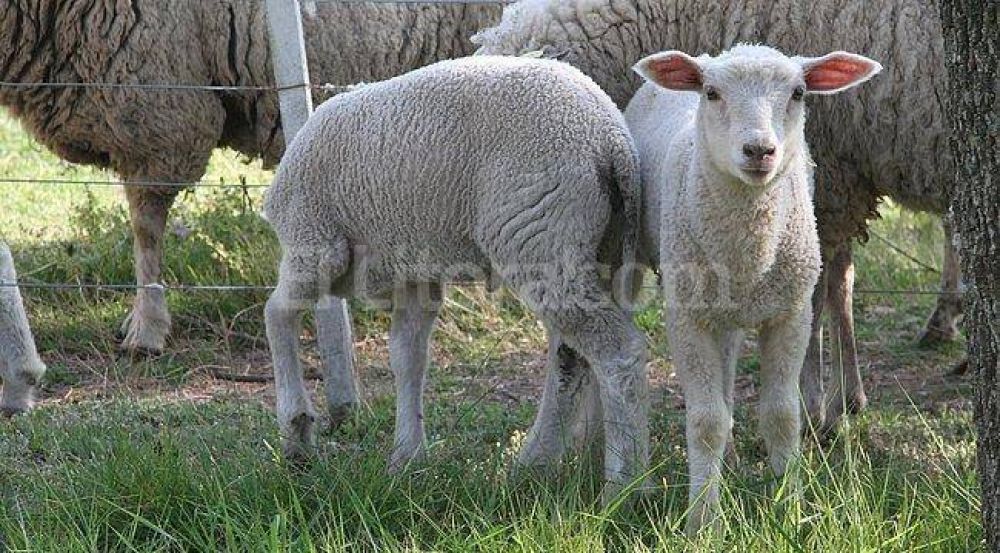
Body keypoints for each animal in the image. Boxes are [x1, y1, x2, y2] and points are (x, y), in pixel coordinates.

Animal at [263, 55, 649, 501]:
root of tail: (610, 139)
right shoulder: (415, 271)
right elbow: (408, 356)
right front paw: (407, 458)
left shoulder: (314, 242)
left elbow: (277, 313)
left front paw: (296, 435)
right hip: (601, 251)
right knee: (572, 358)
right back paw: (542, 464)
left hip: (539, 238)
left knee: (616, 352)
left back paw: (623, 486)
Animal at [624, 44, 881, 533]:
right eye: (711, 92)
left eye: (798, 92)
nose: (759, 150)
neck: (747, 253)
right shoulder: (686, 317)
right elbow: (706, 421)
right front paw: (704, 522)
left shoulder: (791, 313)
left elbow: (781, 417)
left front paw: (791, 509)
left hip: (732, 310)